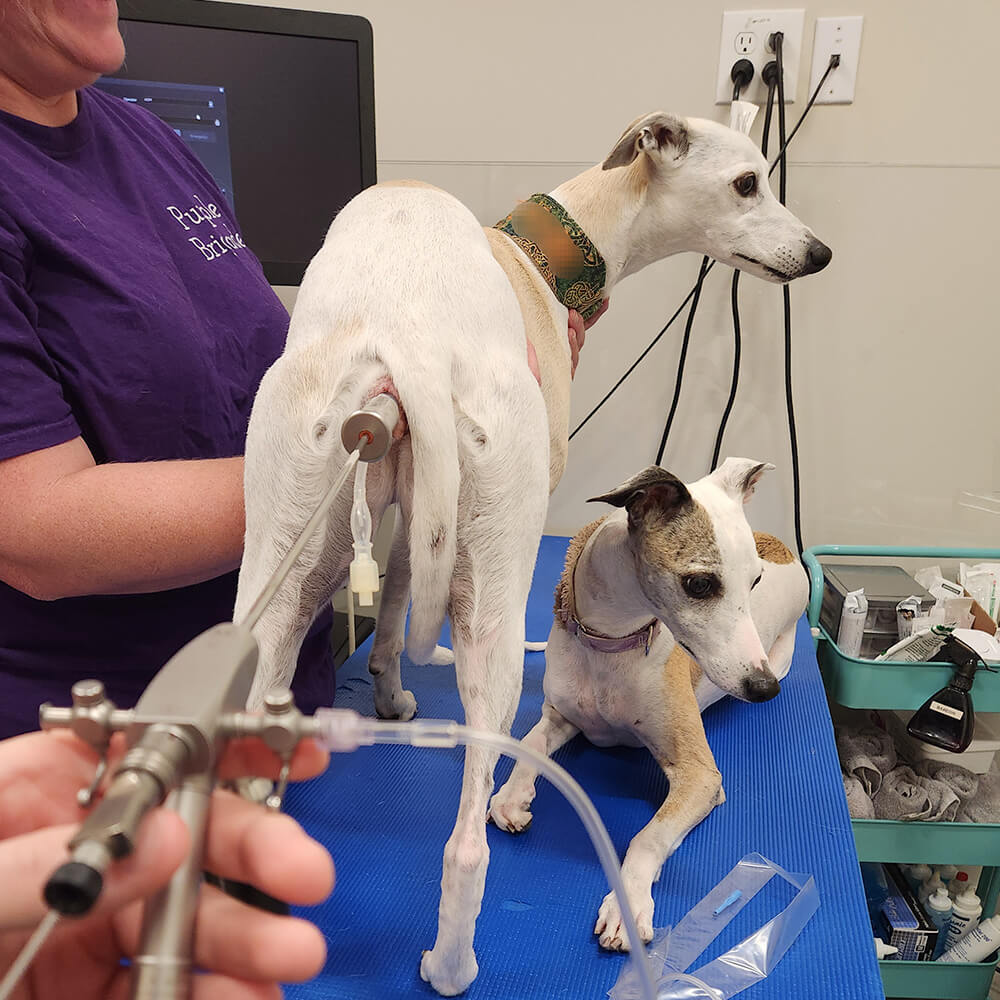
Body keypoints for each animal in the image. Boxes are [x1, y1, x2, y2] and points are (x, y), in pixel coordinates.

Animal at [488, 460, 808, 952]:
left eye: (754, 582)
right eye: (700, 583)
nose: (763, 689)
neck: (611, 643)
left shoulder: (701, 777)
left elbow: (648, 837)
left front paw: (627, 903)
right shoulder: (561, 717)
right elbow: (529, 746)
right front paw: (511, 796)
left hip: (783, 654)